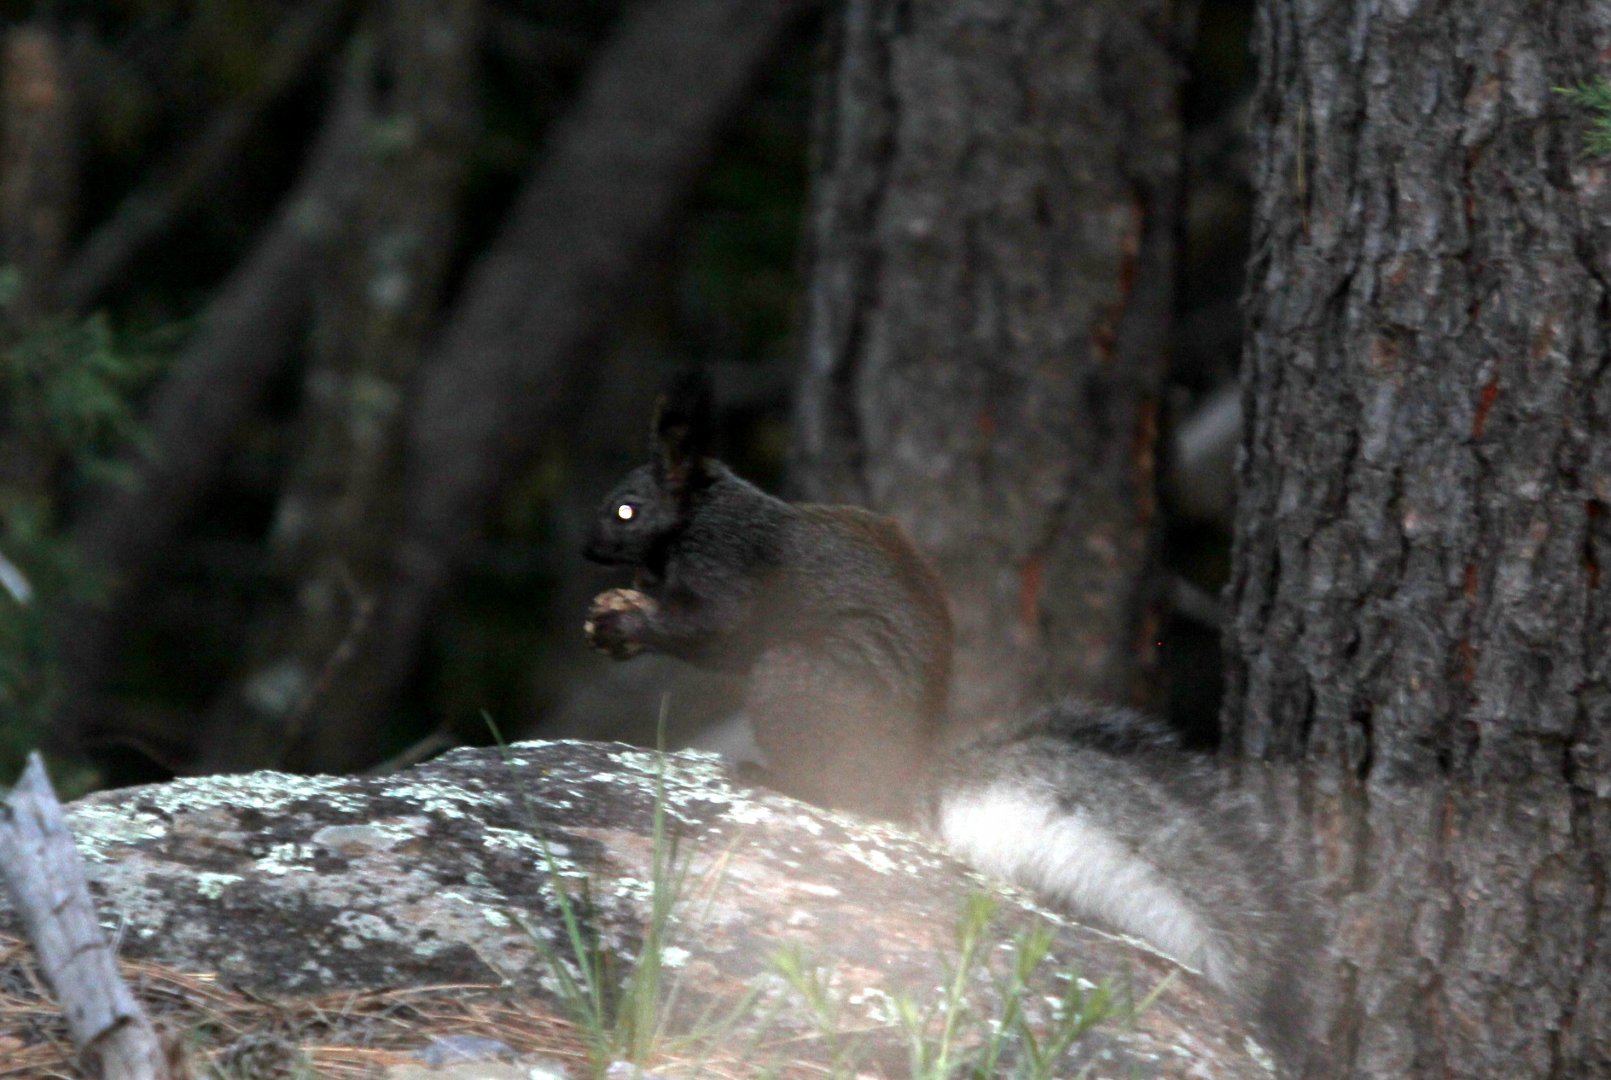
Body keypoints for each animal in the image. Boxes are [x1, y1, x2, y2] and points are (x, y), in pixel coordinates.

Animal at [582, 373, 1308, 1067]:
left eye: (626, 508)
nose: (587, 550)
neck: (702, 510)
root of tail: (901, 780)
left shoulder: (727, 565)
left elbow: (714, 630)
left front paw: (630, 621)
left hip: (798, 679)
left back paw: (772, 775)